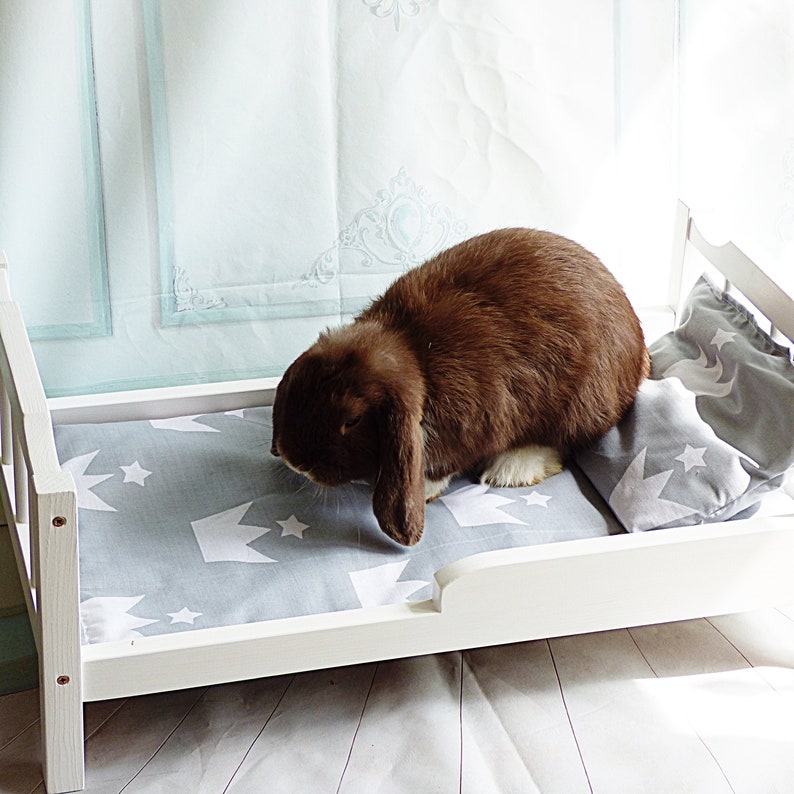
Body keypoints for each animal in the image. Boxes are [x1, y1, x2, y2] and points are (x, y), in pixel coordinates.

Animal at [271, 228, 649, 546]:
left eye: (351, 420)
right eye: (298, 393)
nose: (296, 461)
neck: (414, 355)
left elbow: (443, 464)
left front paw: (425, 489)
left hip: (583, 400)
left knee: (564, 439)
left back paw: (511, 470)